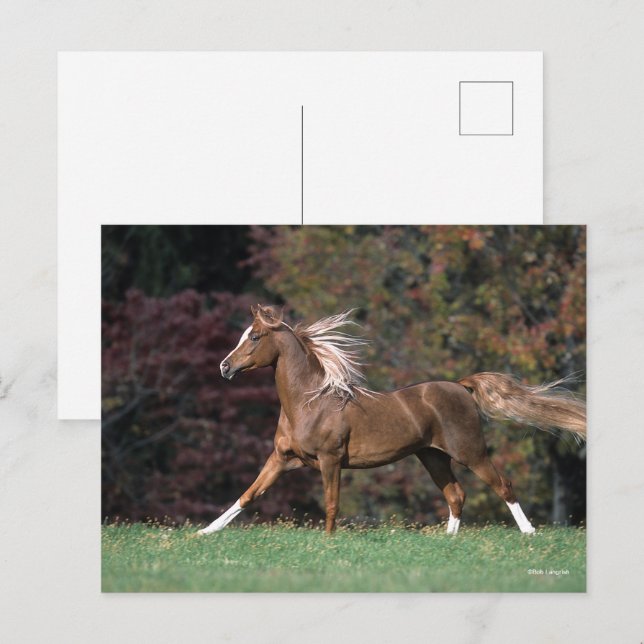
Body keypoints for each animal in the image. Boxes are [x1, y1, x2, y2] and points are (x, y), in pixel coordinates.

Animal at [198, 305, 586, 536]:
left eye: (254, 336)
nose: (224, 367)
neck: (310, 402)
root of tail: (461, 386)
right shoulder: (282, 459)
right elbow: (248, 495)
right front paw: (204, 532)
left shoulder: (330, 460)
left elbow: (331, 502)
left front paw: (327, 542)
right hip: (432, 456)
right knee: (456, 494)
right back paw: (448, 541)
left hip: (470, 452)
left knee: (502, 485)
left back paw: (529, 533)